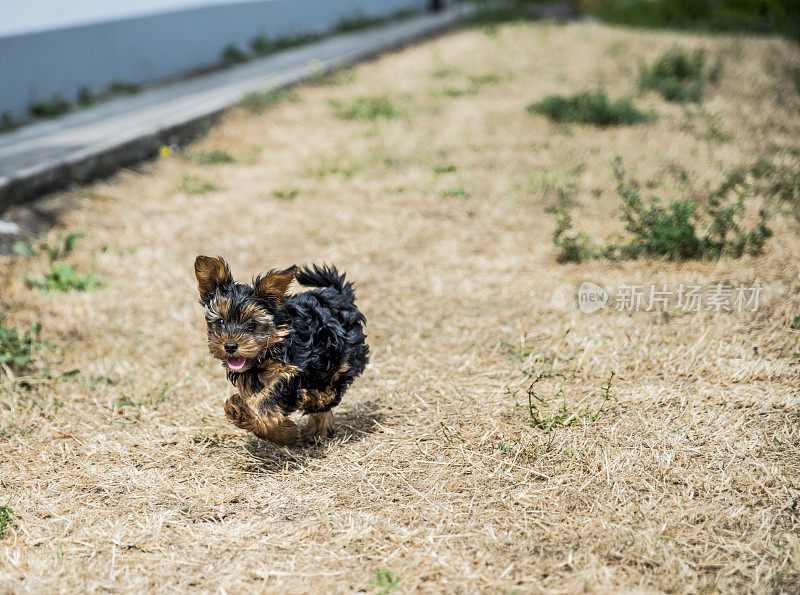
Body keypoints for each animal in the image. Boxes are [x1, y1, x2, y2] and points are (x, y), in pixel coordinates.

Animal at [194, 256, 368, 448]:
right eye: (220, 322)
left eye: (252, 324)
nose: (230, 346)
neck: (268, 349)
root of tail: (339, 295)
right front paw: (285, 434)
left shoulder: (290, 370)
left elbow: (270, 397)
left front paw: (243, 411)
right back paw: (316, 430)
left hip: (343, 356)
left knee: (331, 389)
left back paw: (314, 400)